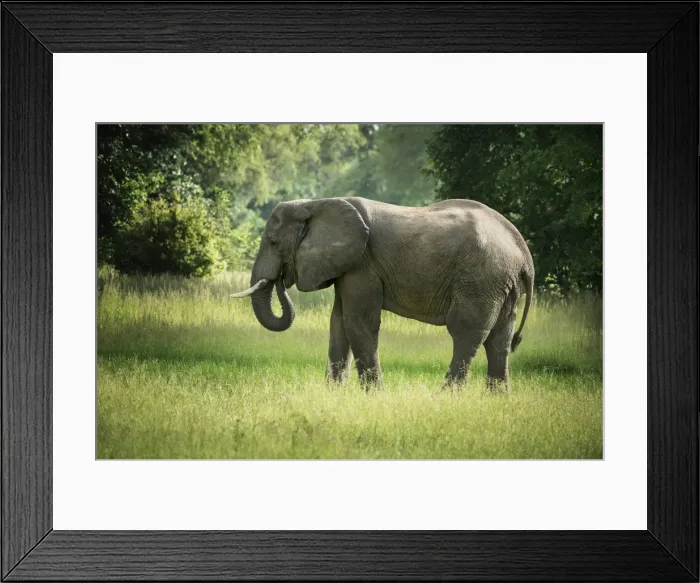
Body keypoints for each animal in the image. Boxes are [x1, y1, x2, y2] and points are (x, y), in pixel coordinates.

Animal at [231, 196, 534, 391]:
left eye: (273, 242)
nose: (281, 279)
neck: (315, 204)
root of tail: (523, 252)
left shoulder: (362, 265)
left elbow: (358, 322)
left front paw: (373, 396)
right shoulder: (346, 266)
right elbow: (338, 323)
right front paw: (333, 395)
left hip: (481, 279)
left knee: (466, 332)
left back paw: (448, 396)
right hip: (502, 285)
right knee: (499, 340)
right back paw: (497, 398)